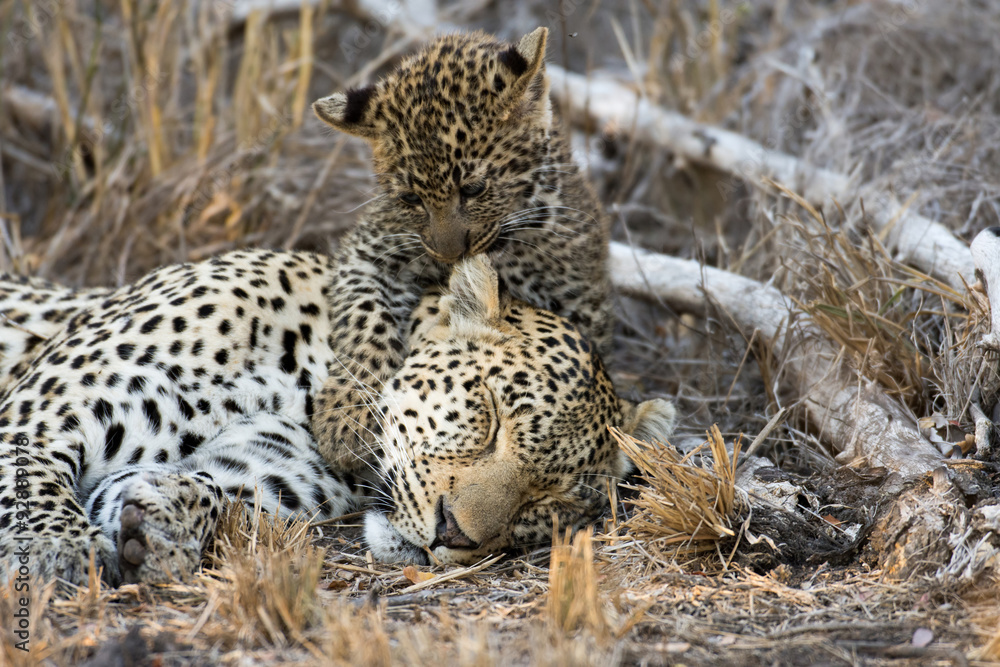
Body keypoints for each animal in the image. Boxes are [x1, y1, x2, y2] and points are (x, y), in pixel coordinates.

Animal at [0, 251, 675, 586]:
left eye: (549, 501)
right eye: (491, 416)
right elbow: (31, 484)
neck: (309, 384)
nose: (453, 534)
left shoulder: (266, 471)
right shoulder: (46, 410)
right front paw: (54, 551)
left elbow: (207, 487)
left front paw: (158, 527)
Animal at [308, 27, 619, 483]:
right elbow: (366, 319)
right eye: (410, 198)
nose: (449, 254)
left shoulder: (580, 302)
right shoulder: (369, 252)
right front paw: (345, 416)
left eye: (473, 189)